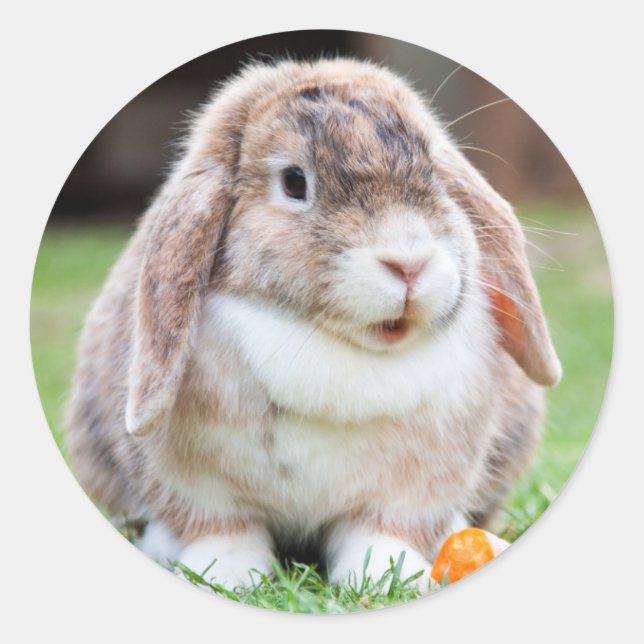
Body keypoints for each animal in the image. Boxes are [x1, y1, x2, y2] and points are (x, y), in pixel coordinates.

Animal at [65, 57, 561, 592]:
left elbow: (380, 533)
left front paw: (389, 577)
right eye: (294, 182)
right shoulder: (200, 487)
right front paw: (228, 577)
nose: (409, 263)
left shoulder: (409, 490)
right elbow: (224, 531)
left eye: (432, 169)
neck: (333, 345)